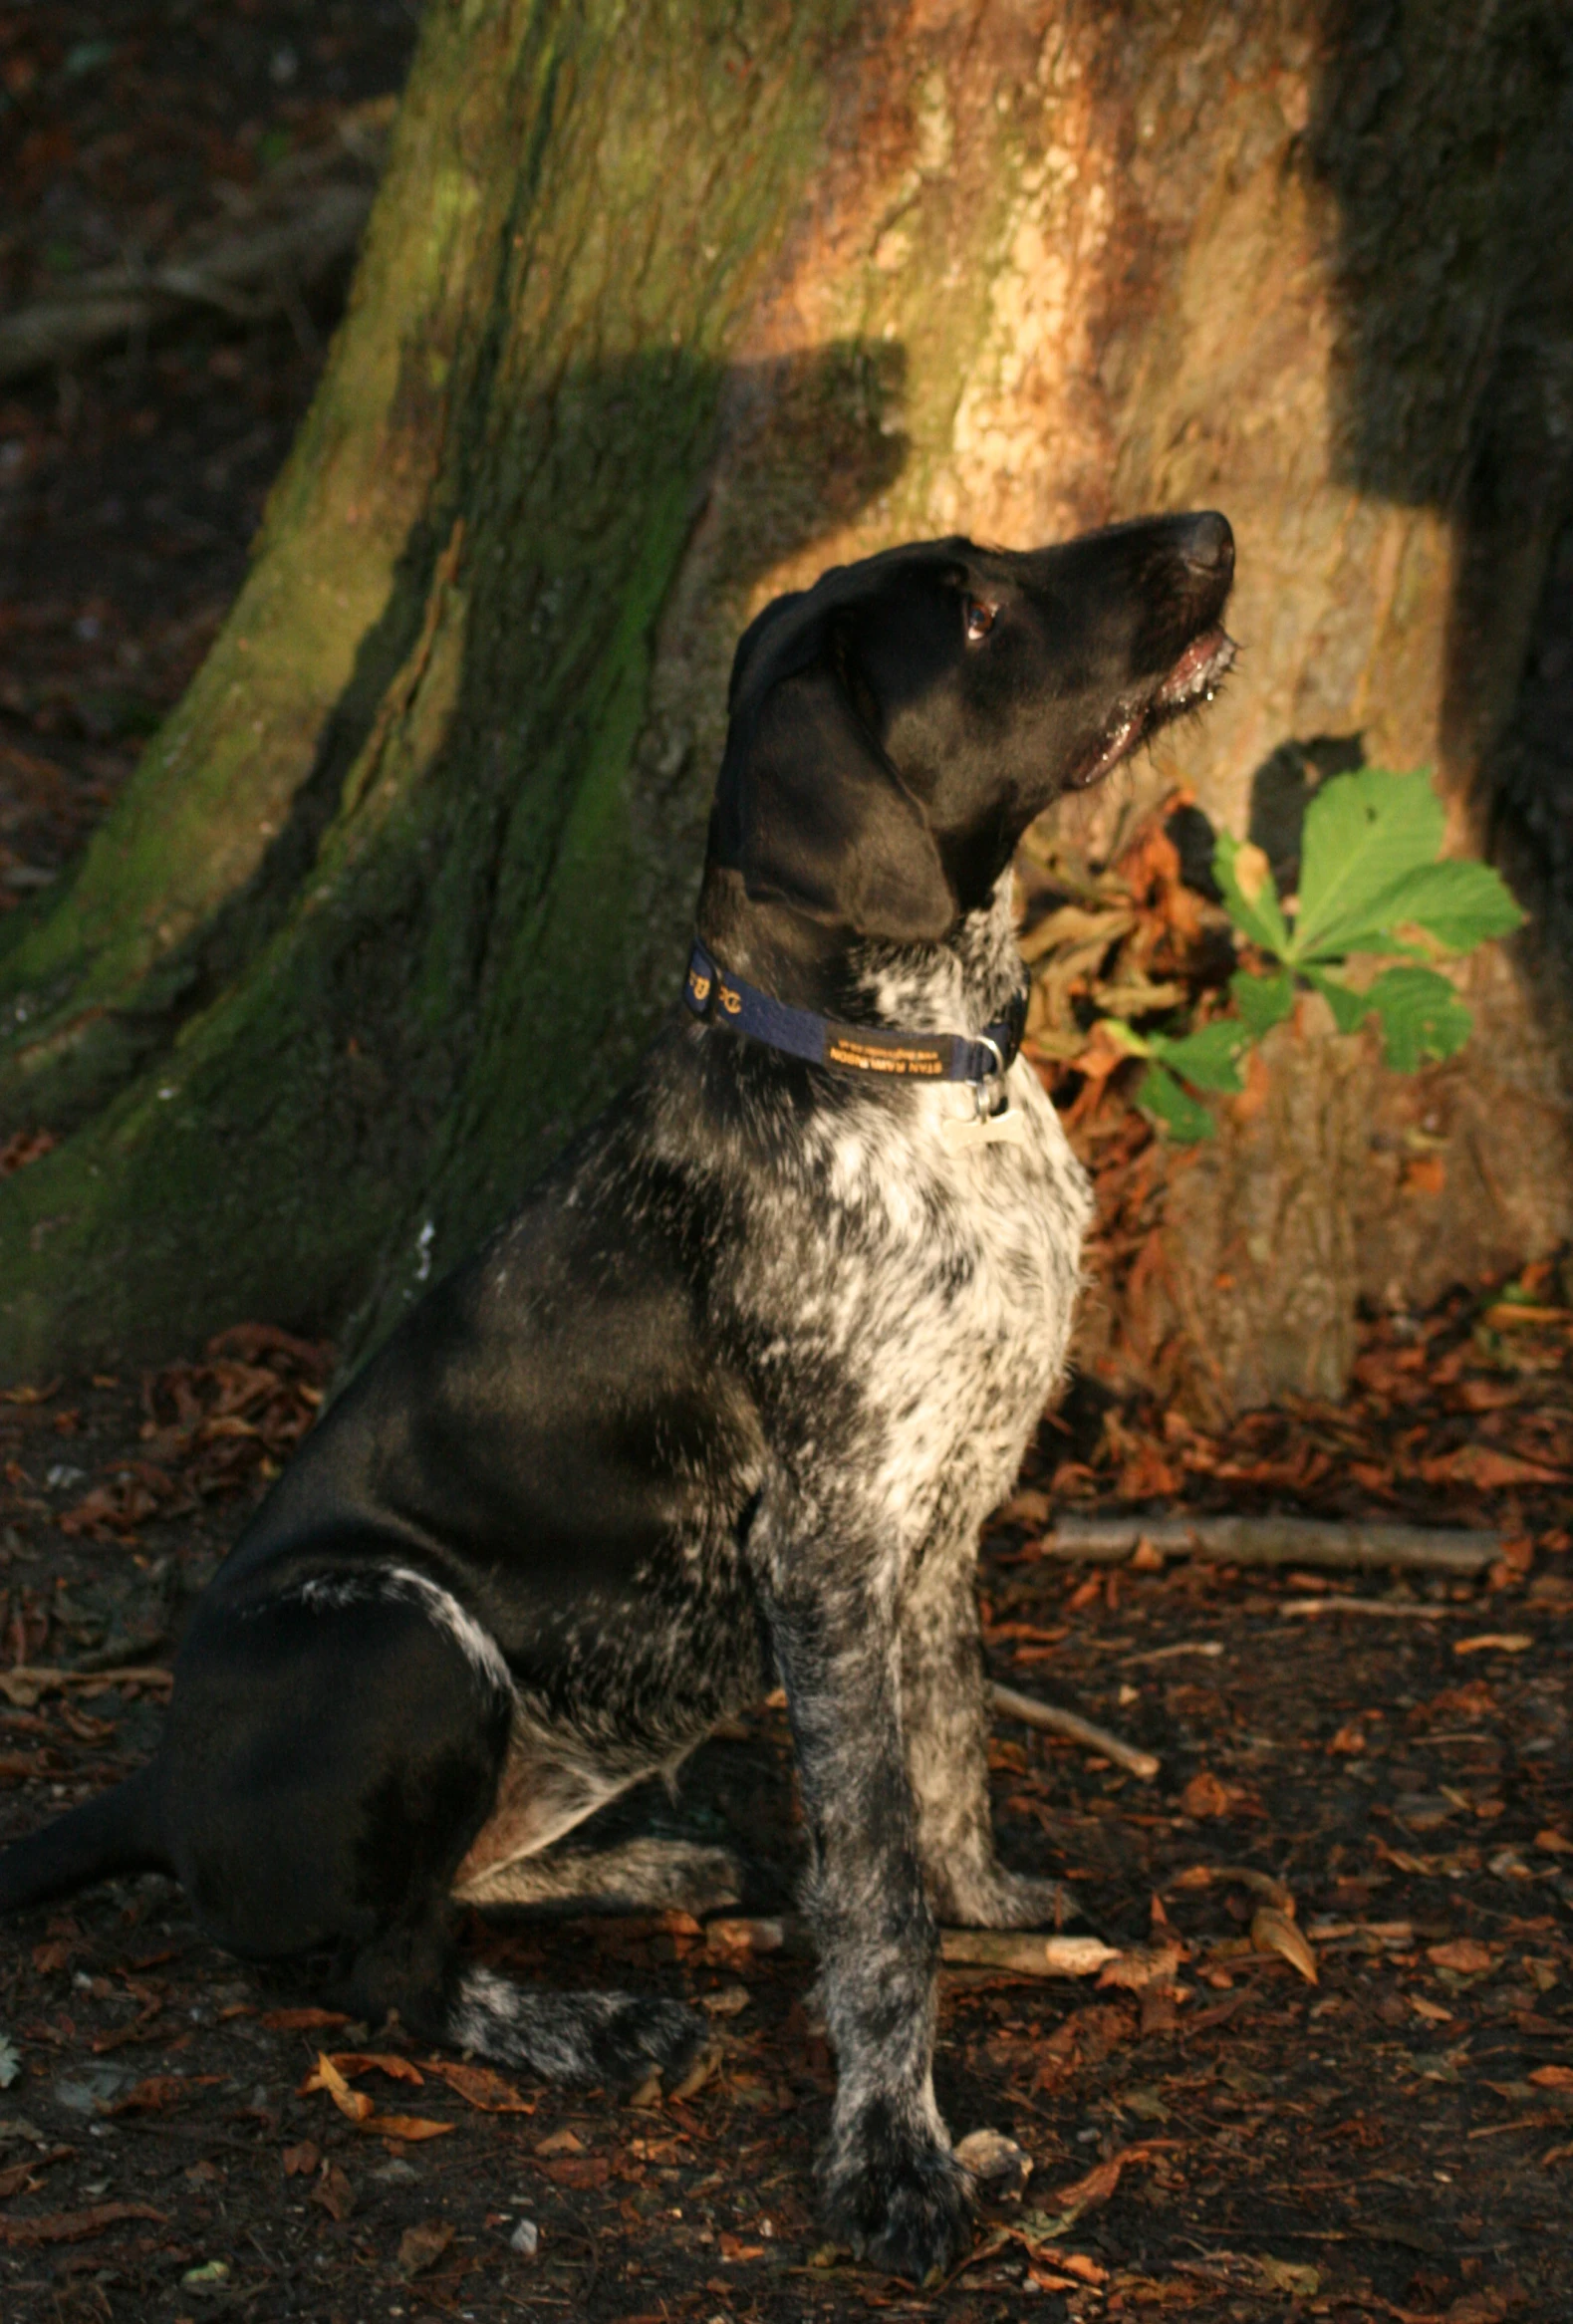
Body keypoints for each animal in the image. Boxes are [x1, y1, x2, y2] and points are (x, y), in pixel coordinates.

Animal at [0, 504, 1226, 2268]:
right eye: (978, 615)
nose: (1205, 531)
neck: (899, 1074)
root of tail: (158, 1786)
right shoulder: (828, 1551)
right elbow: (873, 1890)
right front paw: (892, 2150)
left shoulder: (934, 1530)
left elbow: (947, 1760)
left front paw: (988, 1902)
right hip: (400, 1630)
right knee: (381, 1970)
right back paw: (595, 2020)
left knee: (452, 1879)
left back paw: (660, 1870)